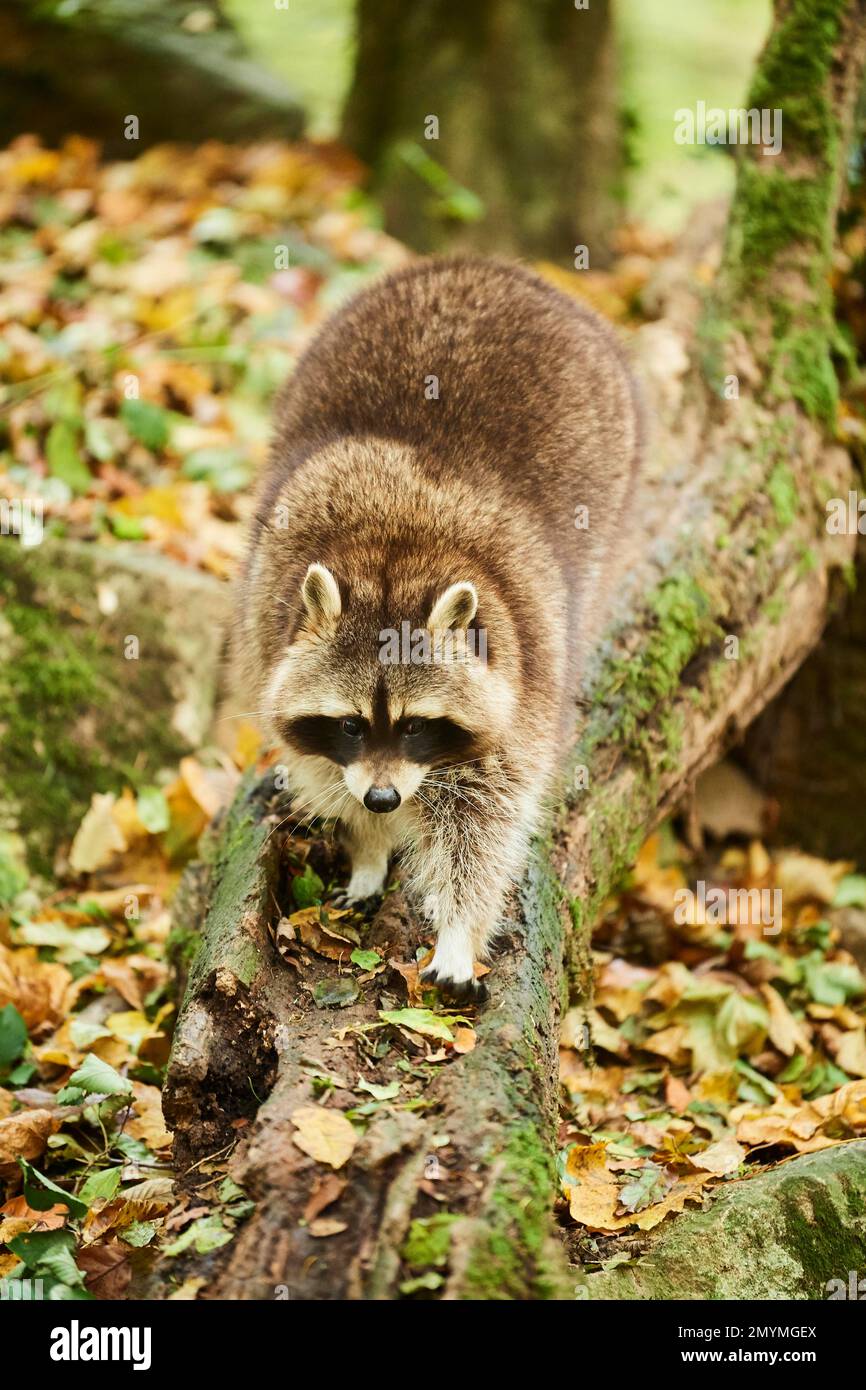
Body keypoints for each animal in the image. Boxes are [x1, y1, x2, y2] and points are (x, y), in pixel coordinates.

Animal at [237, 258, 644, 1000]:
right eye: (349, 724)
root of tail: (489, 268)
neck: (393, 560)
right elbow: (326, 772)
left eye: (418, 725)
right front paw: (368, 845)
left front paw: (459, 929)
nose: (383, 797)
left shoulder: (521, 678)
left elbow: (485, 826)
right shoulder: (265, 622)